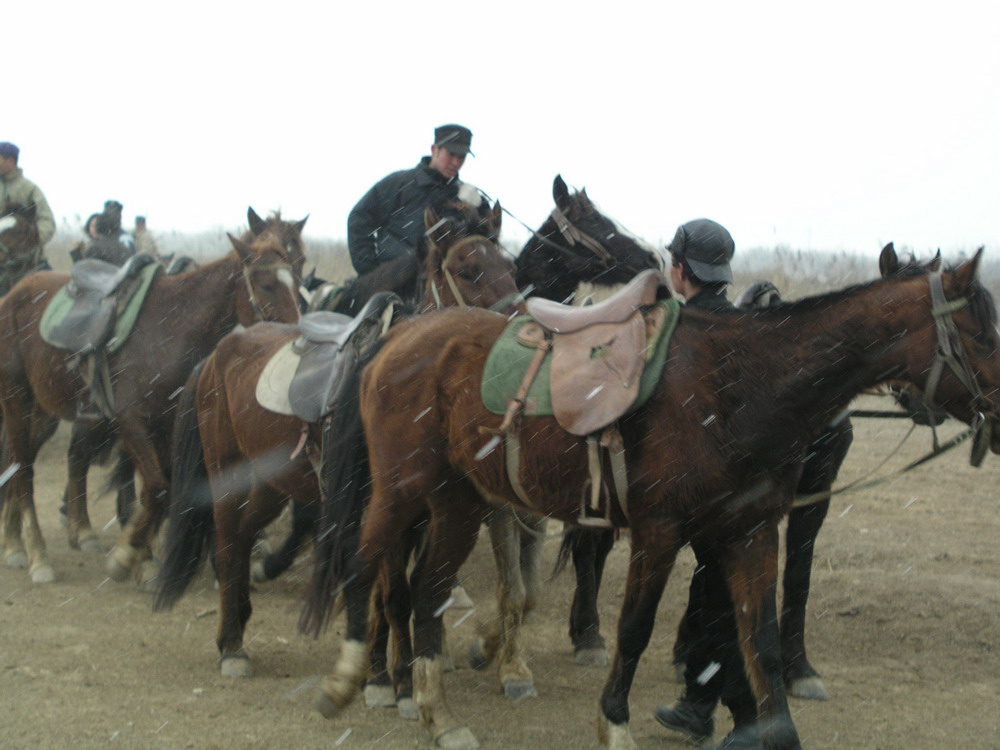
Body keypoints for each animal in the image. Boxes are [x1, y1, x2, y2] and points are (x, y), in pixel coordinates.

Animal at [0, 214, 300, 584]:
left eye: (297, 275)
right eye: (267, 285)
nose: (299, 335)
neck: (171, 328)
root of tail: (14, 293)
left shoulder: (167, 425)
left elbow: (159, 491)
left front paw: (142, 559)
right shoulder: (131, 423)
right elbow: (156, 487)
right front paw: (126, 557)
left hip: (44, 411)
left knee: (22, 459)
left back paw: (17, 542)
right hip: (17, 400)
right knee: (23, 470)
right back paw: (37, 555)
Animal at [152, 198, 520, 680]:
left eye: (510, 266)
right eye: (467, 269)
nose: (517, 329)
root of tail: (217, 355)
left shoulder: (425, 515)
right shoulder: (381, 509)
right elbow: (391, 594)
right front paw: (387, 678)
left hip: (273, 483)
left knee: (247, 534)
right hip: (226, 473)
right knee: (229, 542)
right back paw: (232, 644)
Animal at [302, 248, 1000, 750]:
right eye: (982, 334)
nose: (997, 412)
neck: (741, 382)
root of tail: (398, 340)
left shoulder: (750, 532)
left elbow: (761, 640)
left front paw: (774, 729)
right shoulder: (660, 530)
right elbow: (635, 630)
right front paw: (614, 723)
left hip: (459, 505)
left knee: (426, 595)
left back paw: (437, 714)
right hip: (400, 493)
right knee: (365, 567)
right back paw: (351, 680)